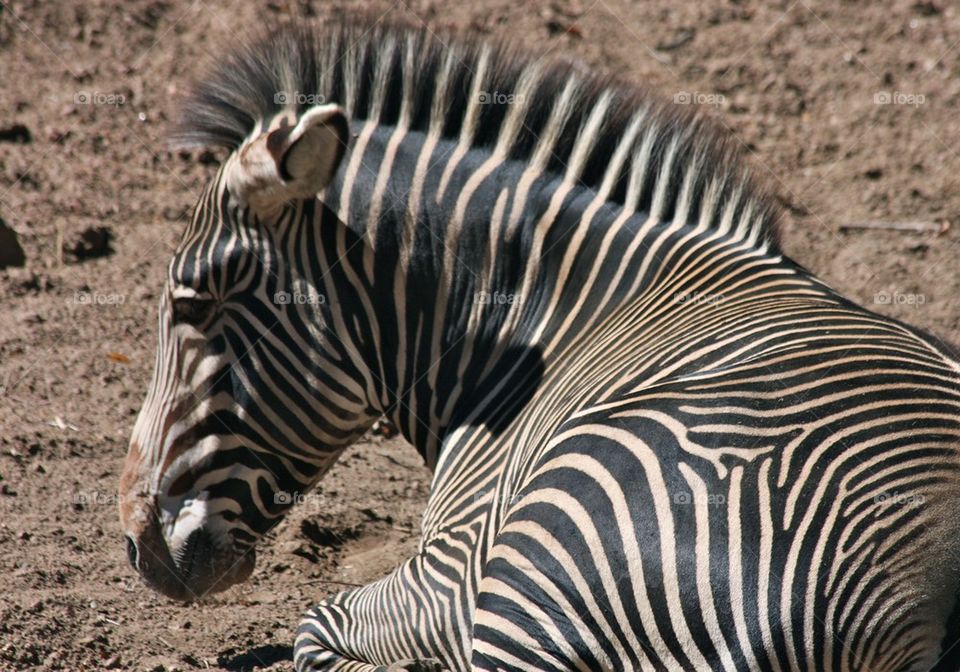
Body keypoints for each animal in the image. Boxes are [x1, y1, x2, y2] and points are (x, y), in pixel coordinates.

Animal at [117, 16, 960, 671]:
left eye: (193, 302)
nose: (138, 546)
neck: (534, 322)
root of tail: (935, 591)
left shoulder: (452, 572)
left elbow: (315, 625)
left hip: (543, 551)